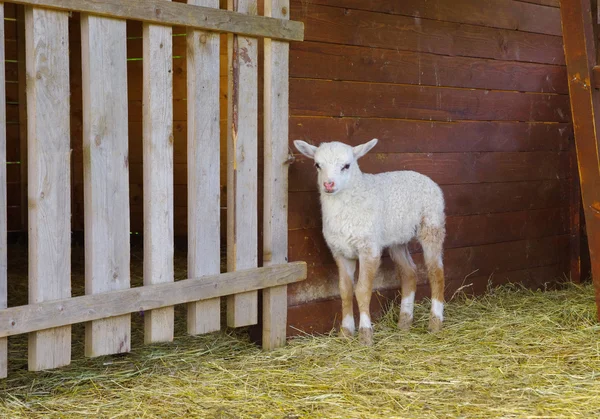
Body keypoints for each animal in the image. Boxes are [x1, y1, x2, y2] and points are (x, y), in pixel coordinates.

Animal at [296, 138, 446, 344]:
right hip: (397, 237)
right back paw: (404, 322)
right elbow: (344, 290)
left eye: (346, 166)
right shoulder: (340, 251)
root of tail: (426, 178)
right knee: (409, 273)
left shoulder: (369, 248)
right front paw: (346, 332)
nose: (328, 184)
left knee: (436, 272)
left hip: (432, 224)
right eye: (318, 165)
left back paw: (435, 322)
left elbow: (362, 290)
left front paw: (365, 334)